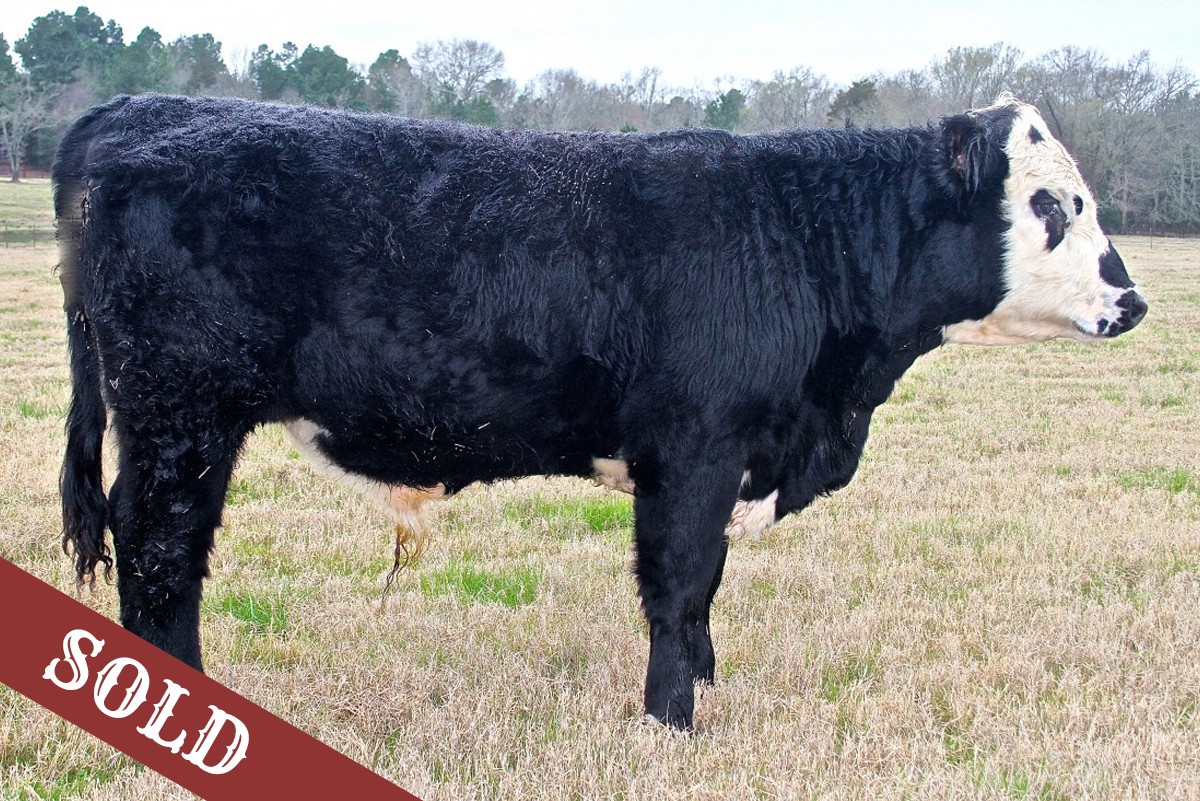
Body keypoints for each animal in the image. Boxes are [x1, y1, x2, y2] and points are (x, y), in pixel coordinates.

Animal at [55, 93, 1146, 731]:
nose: (1132, 300)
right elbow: (679, 582)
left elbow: (705, 590)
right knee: (160, 552)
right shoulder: (697, 447)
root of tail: (144, 111)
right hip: (181, 415)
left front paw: (707, 686)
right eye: (1054, 205)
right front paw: (672, 718)